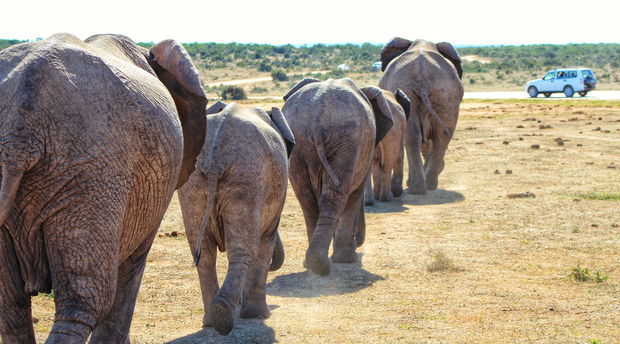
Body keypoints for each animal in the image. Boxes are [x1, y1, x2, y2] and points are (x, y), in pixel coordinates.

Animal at [179, 101, 296, 334]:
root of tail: (215, 155)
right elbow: (266, 240)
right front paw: (260, 316)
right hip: (247, 177)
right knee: (244, 250)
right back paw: (225, 317)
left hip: (195, 181)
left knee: (204, 253)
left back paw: (211, 319)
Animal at [284, 78, 394, 276]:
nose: (358, 242)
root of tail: (317, 121)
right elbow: (355, 195)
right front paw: (347, 259)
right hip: (346, 140)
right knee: (335, 196)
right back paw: (324, 264)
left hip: (301, 143)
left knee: (307, 199)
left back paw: (312, 264)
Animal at [380, 38, 462, 194]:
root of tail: (423, 81)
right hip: (444, 96)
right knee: (438, 137)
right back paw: (425, 186)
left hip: (436, 95)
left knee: (418, 137)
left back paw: (419, 187)